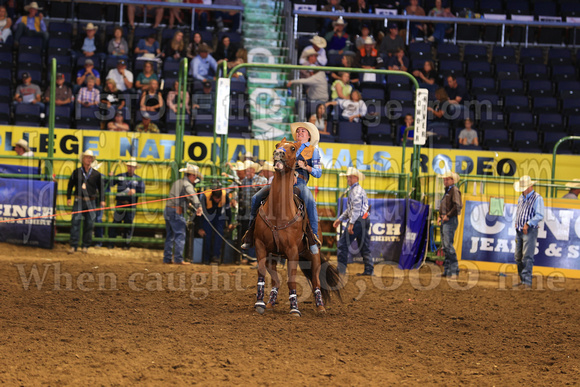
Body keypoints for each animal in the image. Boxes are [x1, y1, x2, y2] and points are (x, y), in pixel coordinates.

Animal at [253, 138, 342, 316]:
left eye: (293, 148)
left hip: (313, 255)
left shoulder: (293, 251)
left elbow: (292, 281)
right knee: (276, 281)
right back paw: (271, 303)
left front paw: (294, 309)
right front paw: (259, 303)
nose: (278, 153)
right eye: (276, 146)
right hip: (275, 255)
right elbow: (262, 273)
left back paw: (320, 307)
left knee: (315, 280)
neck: (279, 212)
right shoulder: (261, 246)